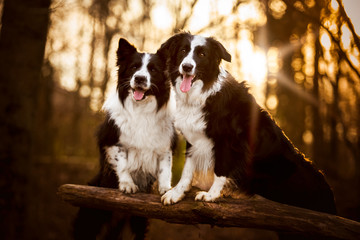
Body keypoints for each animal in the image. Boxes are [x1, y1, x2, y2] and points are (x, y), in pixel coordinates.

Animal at [75, 38, 177, 239]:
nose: (140, 78)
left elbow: (165, 169)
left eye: (153, 70)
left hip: (137, 220)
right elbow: (122, 162)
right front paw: (127, 184)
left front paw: (166, 189)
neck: (141, 109)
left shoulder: (164, 147)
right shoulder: (112, 140)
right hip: (92, 215)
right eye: (134, 67)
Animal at [156, 32, 336, 216]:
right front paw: (177, 193)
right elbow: (187, 169)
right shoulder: (195, 138)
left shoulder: (227, 142)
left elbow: (220, 170)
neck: (203, 94)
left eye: (202, 54)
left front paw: (211, 195)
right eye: (183, 50)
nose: (186, 67)